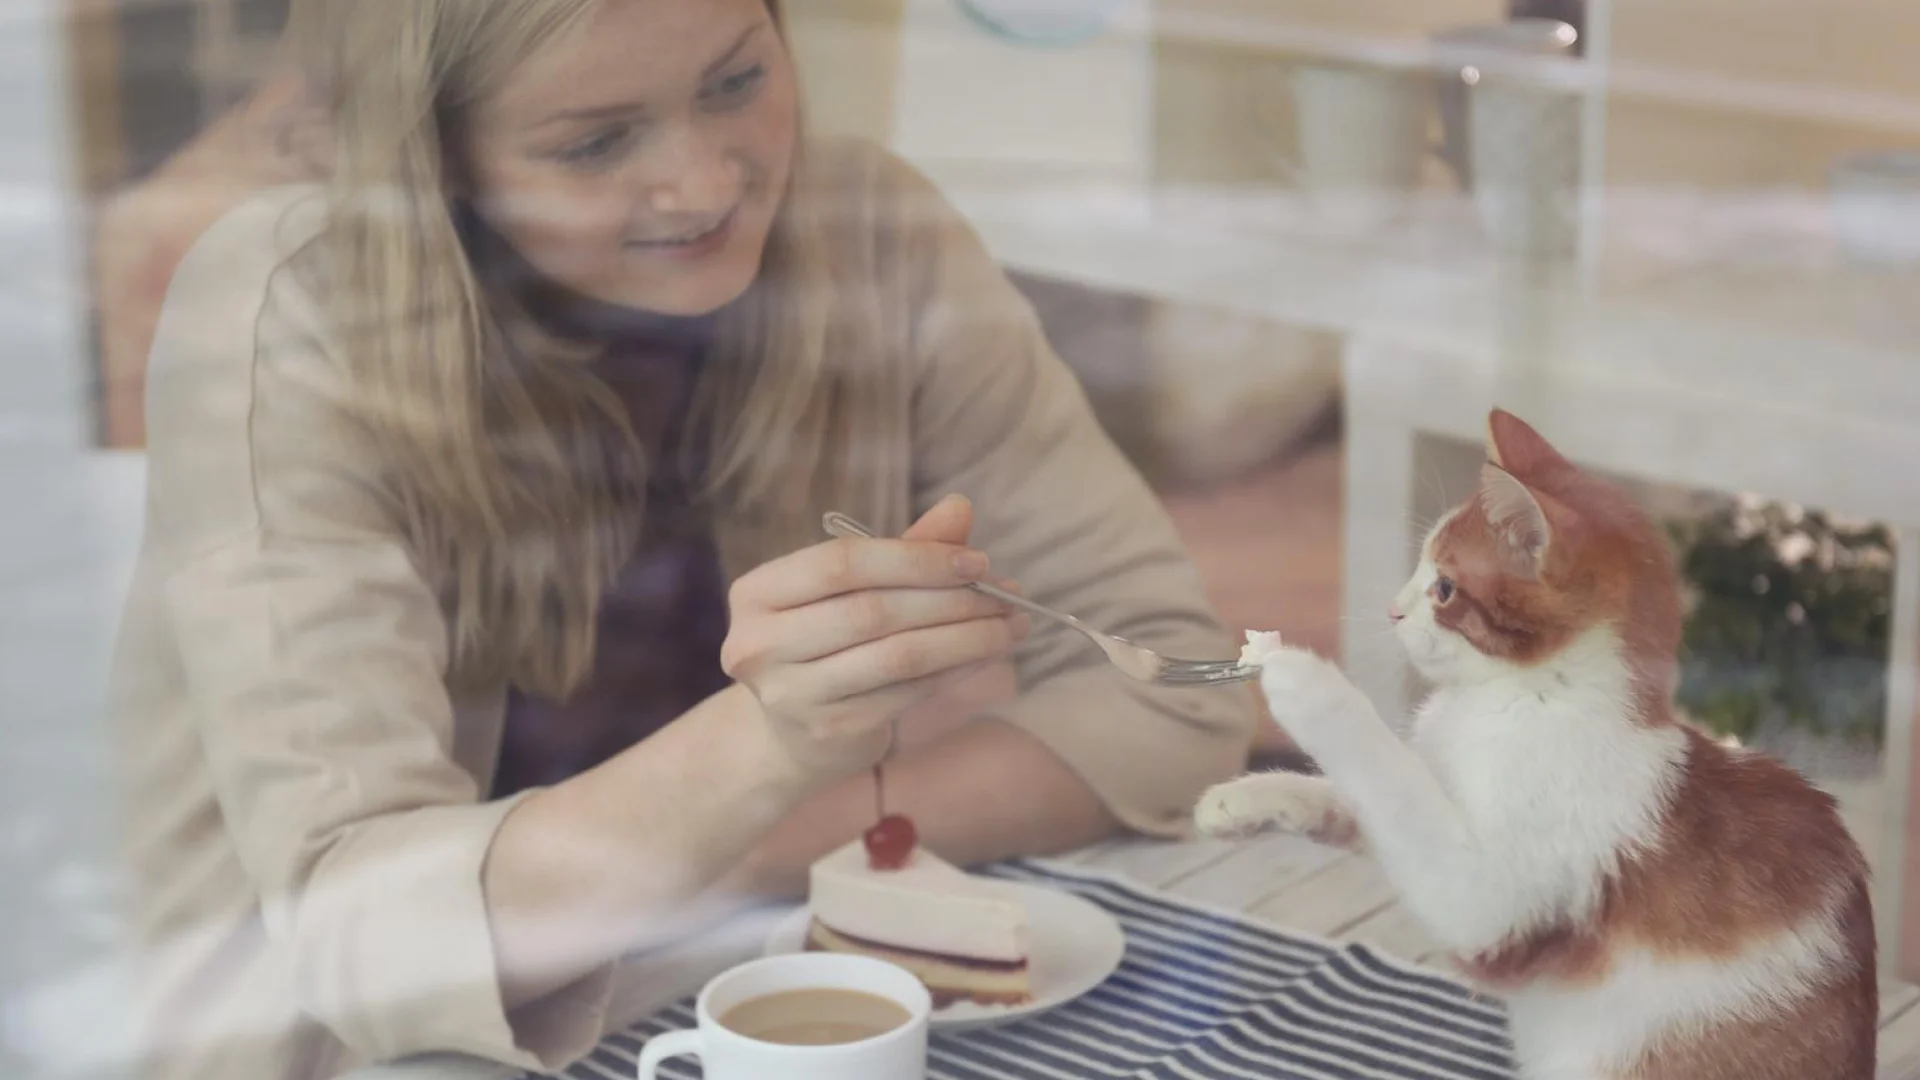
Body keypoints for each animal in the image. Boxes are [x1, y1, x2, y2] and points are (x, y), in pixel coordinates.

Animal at [1198, 407, 1873, 1068]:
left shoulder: (1494, 903)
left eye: (1443, 588)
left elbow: (1389, 778)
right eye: (1419, 568)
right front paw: (1246, 799)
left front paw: (1298, 674)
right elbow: (1372, 798)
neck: (1519, 699)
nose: (1392, 610)